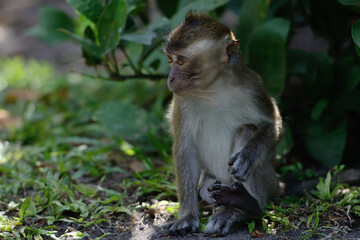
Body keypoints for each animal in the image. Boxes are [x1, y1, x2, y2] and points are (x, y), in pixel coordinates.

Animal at [163, 12, 284, 235]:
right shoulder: (181, 101)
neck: (213, 89)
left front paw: (247, 157)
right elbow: (185, 149)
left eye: (181, 60)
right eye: (170, 59)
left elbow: (272, 124)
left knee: (246, 130)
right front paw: (186, 217)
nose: (171, 78)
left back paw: (240, 206)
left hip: (269, 182)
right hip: (212, 181)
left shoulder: (252, 86)